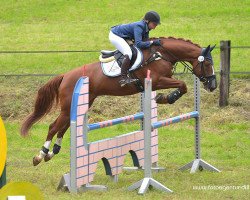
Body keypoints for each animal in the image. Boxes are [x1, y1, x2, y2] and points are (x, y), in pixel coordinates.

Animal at [20, 37, 217, 166]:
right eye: (208, 64)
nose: (213, 86)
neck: (162, 54)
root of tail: (65, 76)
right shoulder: (157, 80)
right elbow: (183, 85)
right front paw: (166, 98)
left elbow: (183, 86)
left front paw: (164, 97)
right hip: (68, 106)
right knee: (54, 126)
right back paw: (40, 156)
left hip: (81, 103)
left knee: (64, 126)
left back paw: (52, 153)